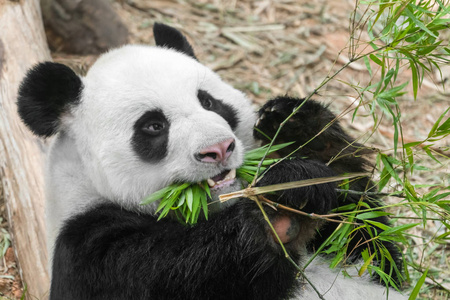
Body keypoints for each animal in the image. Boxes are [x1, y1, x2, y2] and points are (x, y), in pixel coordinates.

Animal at [16, 24, 404, 300]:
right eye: (153, 126)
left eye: (208, 101)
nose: (218, 148)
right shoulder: (93, 249)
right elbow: (184, 272)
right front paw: (283, 203)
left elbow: (373, 249)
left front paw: (296, 128)